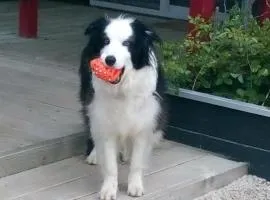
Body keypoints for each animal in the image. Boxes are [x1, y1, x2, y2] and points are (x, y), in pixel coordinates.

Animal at [78, 14, 167, 200]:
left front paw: (135, 186)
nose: (109, 60)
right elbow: (110, 165)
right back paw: (95, 154)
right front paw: (109, 189)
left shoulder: (143, 123)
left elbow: (137, 162)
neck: (122, 88)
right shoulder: (105, 120)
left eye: (127, 43)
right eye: (105, 40)